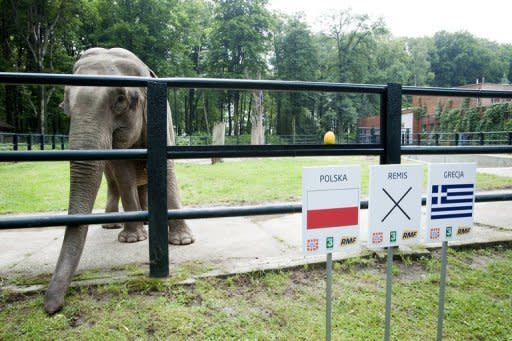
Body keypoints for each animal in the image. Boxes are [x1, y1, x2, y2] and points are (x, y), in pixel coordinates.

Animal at [44, 47, 195, 314]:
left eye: (121, 100)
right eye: (66, 105)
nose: (51, 307)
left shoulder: (164, 122)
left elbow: (167, 169)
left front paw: (183, 241)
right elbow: (123, 173)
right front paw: (131, 239)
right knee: (114, 183)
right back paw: (114, 225)